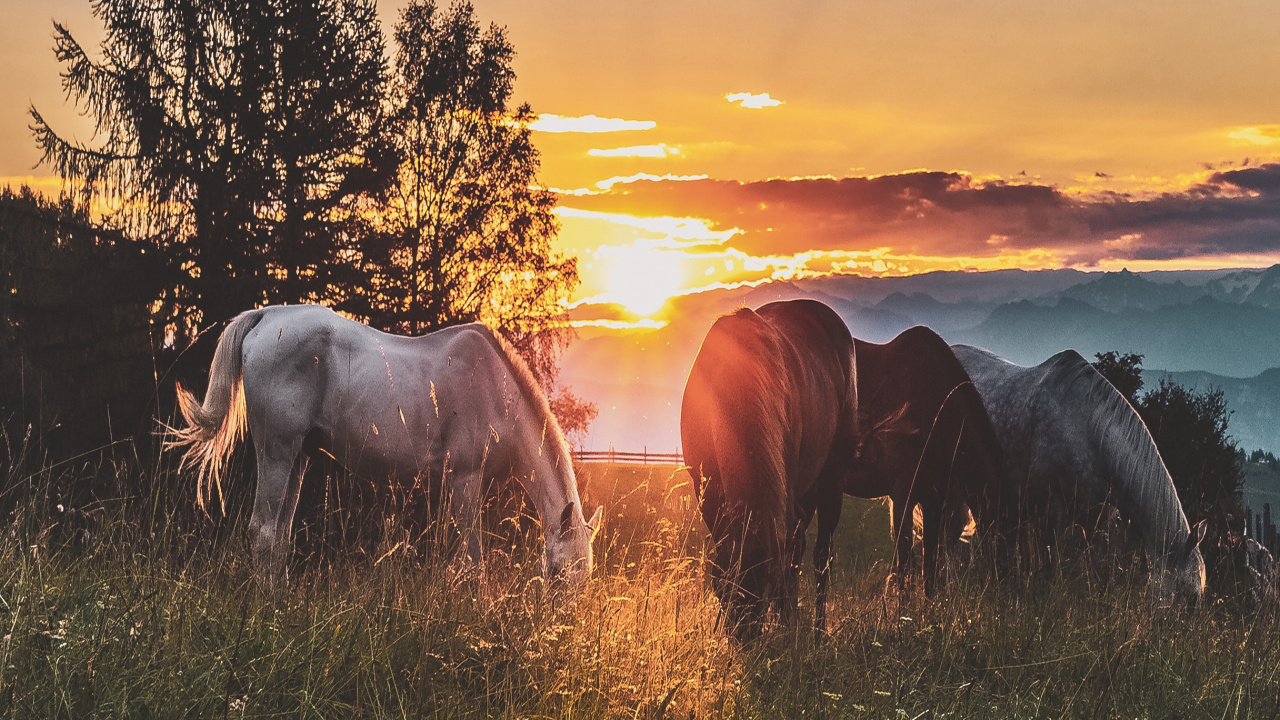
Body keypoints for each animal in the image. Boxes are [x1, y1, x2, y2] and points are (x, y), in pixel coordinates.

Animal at [169, 304, 601, 592]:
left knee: (279, 535)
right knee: (262, 531)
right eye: (558, 574)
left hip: (299, 458)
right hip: (276, 452)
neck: (496, 388)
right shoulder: (464, 479)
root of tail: (266, 316)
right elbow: (472, 561)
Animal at [681, 299, 858, 638]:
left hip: (831, 482)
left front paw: (786, 623)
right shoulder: (707, 490)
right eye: (724, 592)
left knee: (819, 557)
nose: (745, 641)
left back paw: (814, 631)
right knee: (798, 550)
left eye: (763, 594)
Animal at [952, 345, 1206, 605]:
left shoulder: (1098, 523)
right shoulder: (1049, 518)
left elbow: (1102, 575)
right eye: (1189, 598)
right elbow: (1048, 571)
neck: (1087, 432)